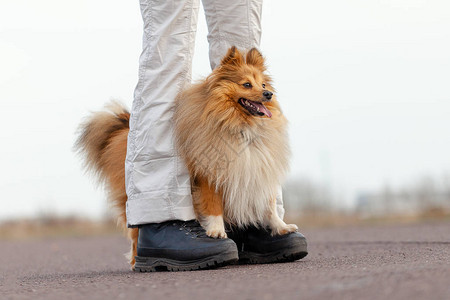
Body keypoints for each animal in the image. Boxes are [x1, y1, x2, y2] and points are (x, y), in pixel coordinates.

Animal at [75, 47, 298, 270]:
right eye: (246, 84)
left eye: (263, 84)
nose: (268, 94)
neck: (242, 127)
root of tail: (125, 130)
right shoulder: (210, 175)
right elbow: (213, 206)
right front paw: (216, 232)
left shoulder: (258, 171)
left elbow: (269, 206)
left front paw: (281, 228)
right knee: (136, 232)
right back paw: (139, 261)